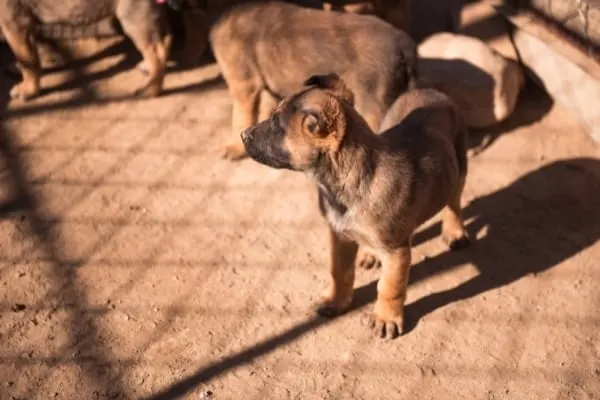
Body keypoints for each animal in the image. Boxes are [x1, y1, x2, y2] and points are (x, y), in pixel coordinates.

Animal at [0, 0, 173, 99]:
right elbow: (30, 55)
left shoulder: (15, 22)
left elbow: (27, 61)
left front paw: (28, 89)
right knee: (165, 40)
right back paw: (148, 70)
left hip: (132, 15)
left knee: (157, 52)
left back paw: (150, 90)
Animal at [241, 73, 472, 340]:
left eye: (277, 124)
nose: (243, 135)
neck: (347, 181)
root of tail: (428, 90)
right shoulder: (339, 236)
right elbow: (339, 272)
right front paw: (336, 301)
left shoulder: (396, 251)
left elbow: (390, 287)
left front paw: (385, 318)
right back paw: (369, 254)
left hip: (459, 167)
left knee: (454, 202)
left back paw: (455, 232)